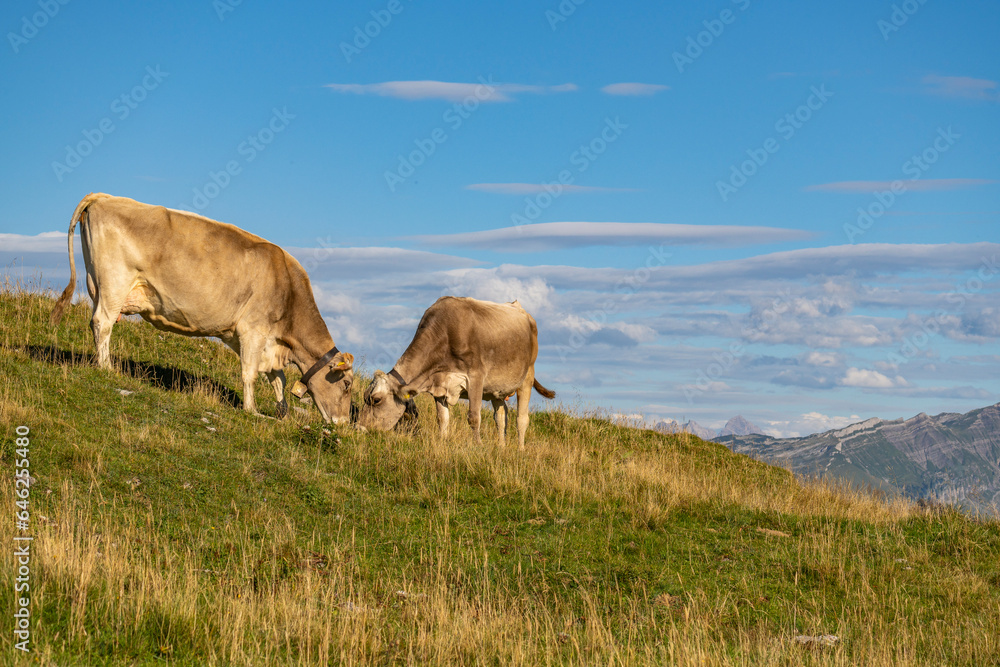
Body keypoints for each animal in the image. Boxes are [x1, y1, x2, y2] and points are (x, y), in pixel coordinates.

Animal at [50, 193, 358, 422]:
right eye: (346, 384)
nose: (343, 424)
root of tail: (104, 196)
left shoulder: (263, 339)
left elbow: (277, 378)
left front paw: (282, 413)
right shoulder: (253, 330)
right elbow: (250, 374)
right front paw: (252, 411)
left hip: (97, 283)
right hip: (114, 281)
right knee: (102, 322)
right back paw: (107, 368)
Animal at [360, 298, 560, 448]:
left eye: (376, 400)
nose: (360, 429)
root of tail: (518, 306)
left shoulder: (476, 377)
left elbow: (474, 417)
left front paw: (478, 446)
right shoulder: (439, 383)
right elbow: (442, 418)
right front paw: (442, 441)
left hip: (527, 376)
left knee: (521, 419)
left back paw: (520, 449)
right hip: (497, 388)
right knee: (501, 417)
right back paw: (501, 447)